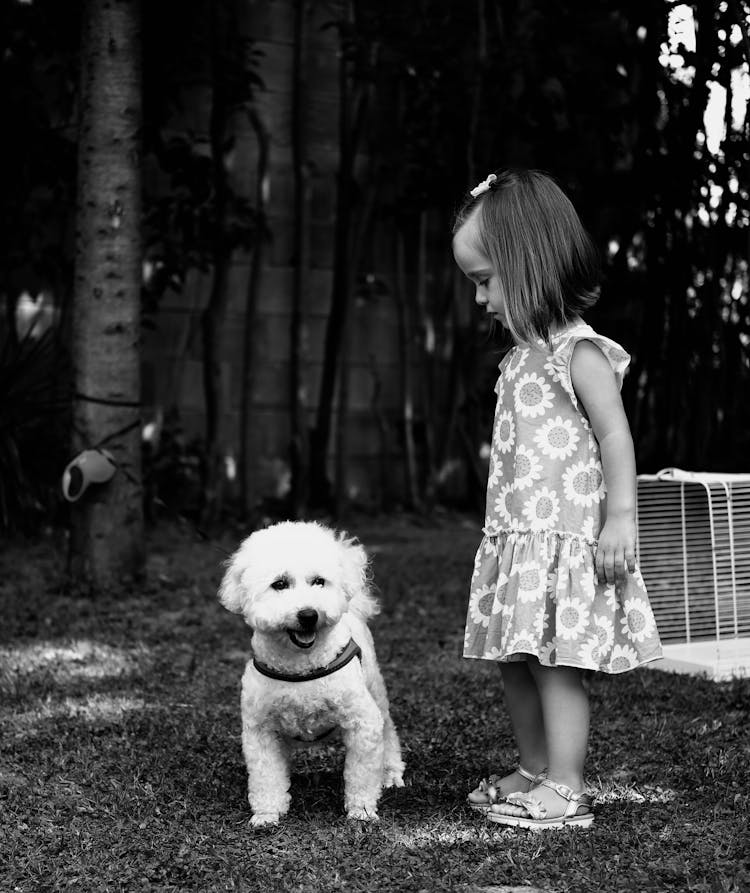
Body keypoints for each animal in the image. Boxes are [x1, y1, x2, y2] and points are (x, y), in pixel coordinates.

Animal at [217, 520, 406, 824]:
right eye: (279, 584)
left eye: (319, 581)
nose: (308, 615)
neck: (302, 664)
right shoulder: (260, 730)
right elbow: (266, 776)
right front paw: (267, 813)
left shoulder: (362, 722)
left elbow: (361, 774)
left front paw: (362, 810)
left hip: (376, 692)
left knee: (388, 731)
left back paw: (390, 773)